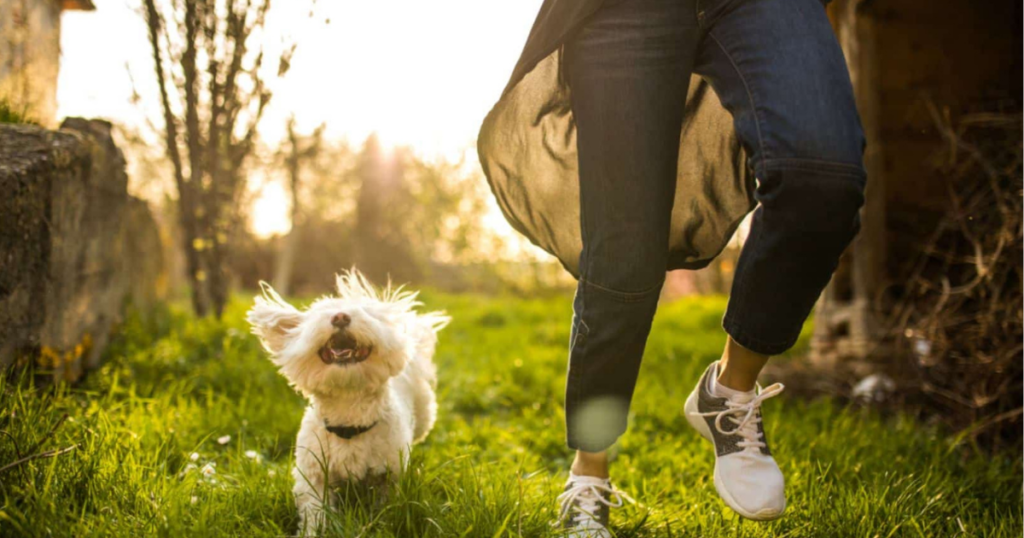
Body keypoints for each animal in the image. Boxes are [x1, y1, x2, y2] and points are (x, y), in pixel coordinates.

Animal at [245, 268, 446, 532]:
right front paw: (314, 531)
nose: (340, 317)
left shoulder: (389, 473)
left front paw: (380, 524)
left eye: (365, 312)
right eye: (321, 314)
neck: (349, 417)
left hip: (423, 416)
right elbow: (315, 510)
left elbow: (386, 506)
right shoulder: (313, 473)